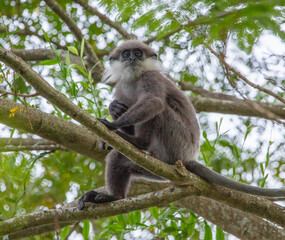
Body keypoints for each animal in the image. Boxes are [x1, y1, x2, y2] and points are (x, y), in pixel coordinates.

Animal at [77, 39, 284, 210]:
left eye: (138, 53)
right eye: (126, 54)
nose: (132, 59)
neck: (134, 80)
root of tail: (187, 158)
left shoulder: (151, 77)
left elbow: (154, 102)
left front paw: (112, 125)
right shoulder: (121, 88)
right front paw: (114, 109)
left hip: (175, 143)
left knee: (160, 109)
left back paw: (138, 142)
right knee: (118, 158)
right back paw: (114, 197)